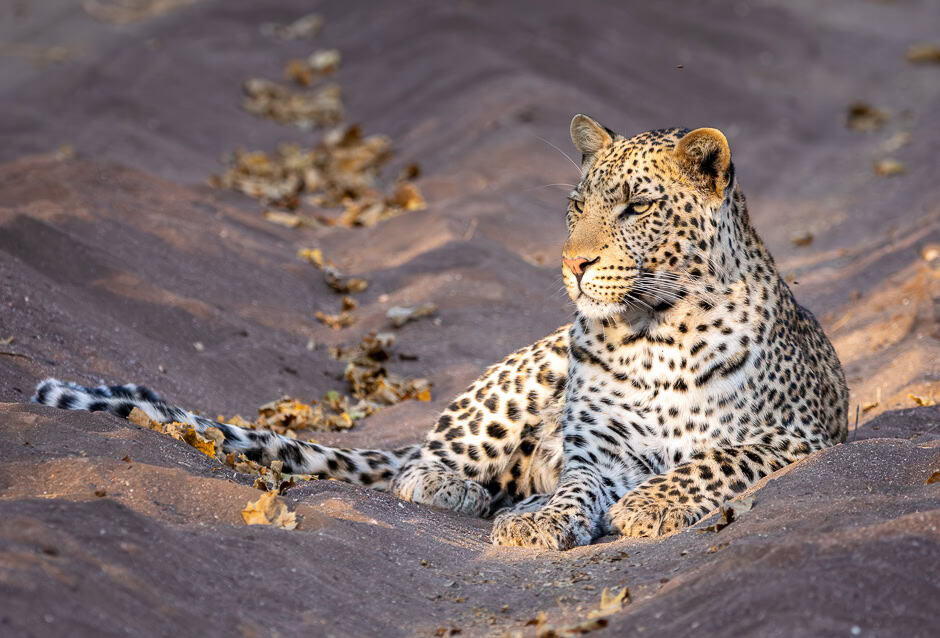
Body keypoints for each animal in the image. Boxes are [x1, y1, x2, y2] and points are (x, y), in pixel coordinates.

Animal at [33, 115, 848, 552]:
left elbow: (721, 457)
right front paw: (541, 520)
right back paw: (479, 495)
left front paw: (651, 504)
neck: (655, 333)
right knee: (414, 469)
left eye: (635, 207)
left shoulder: (801, 437)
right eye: (577, 205)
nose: (573, 264)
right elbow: (575, 484)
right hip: (524, 380)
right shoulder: (600, 449)